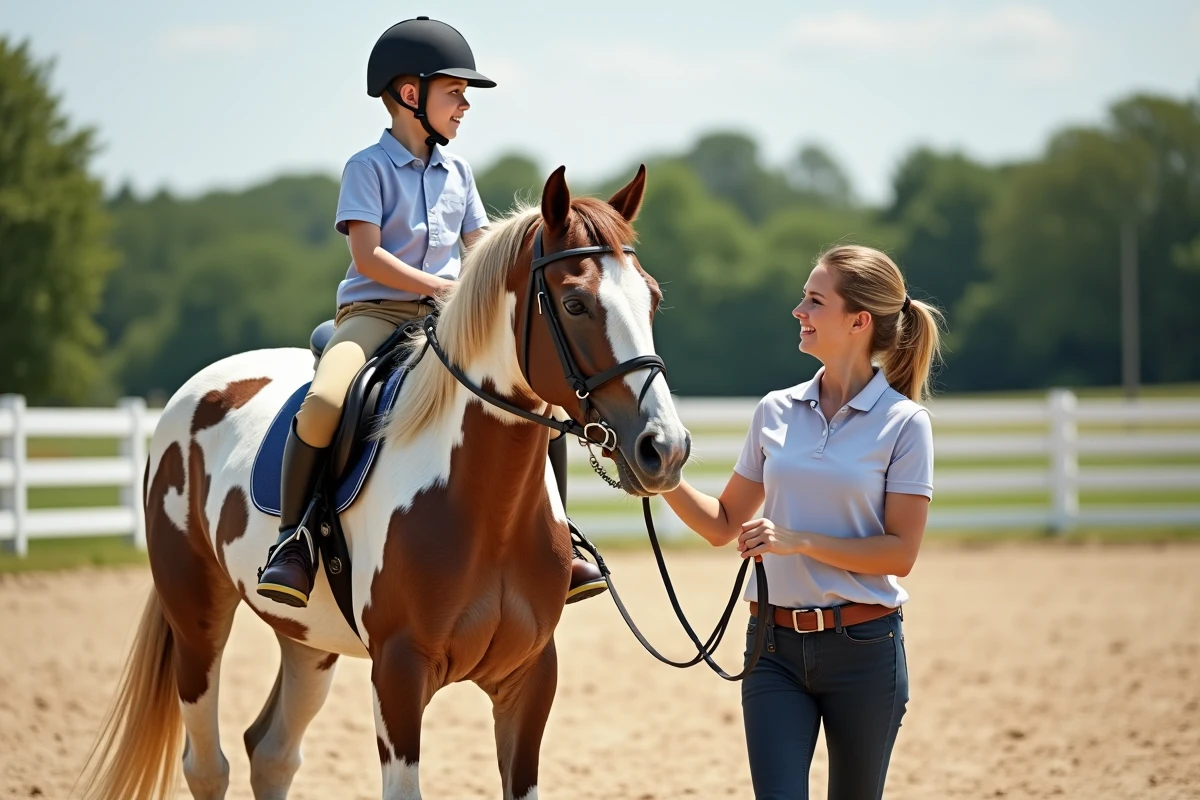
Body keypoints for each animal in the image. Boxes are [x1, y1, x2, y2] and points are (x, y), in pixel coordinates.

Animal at [77, 165, 691, 800]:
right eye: (574, 302)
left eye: (652, 298)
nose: (664, 448)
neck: (484, 509)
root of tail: (196, 389)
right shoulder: (398, 674)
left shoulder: (530, 675)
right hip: (195, 616)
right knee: (208, 764)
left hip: (308, 640)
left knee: (271, 753)